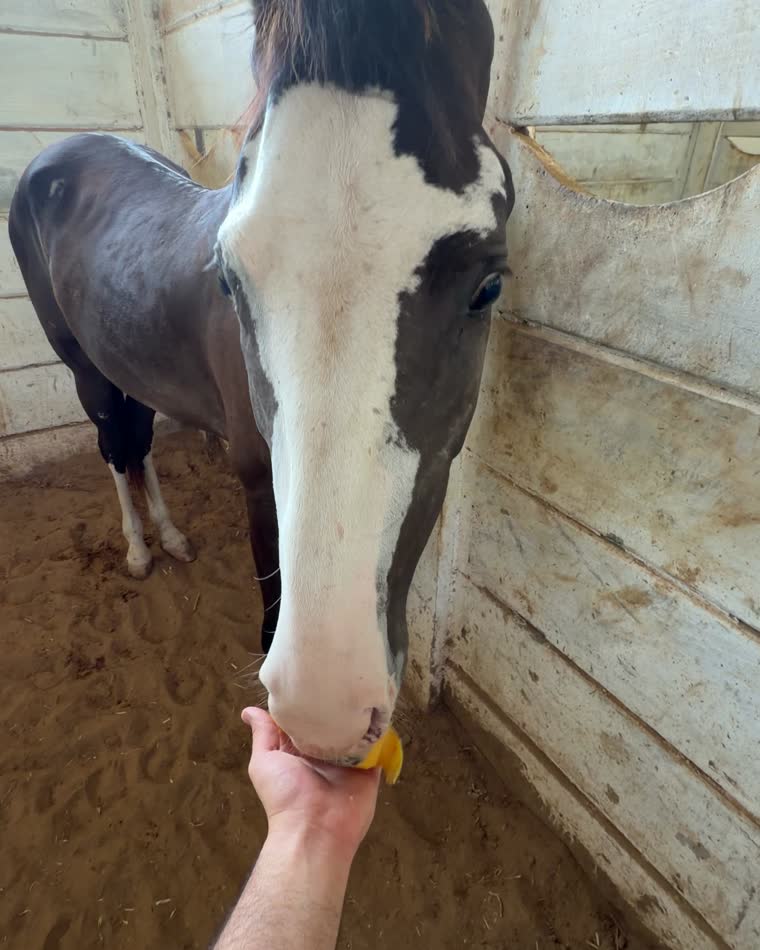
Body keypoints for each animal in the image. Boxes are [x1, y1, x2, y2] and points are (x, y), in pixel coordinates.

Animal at [8, 0, 514, 764]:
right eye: (228, 278)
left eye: (489, 286)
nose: (327, 709)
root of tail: (57, 153)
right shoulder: (255, 482)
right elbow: (271, 595)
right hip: (83, 369)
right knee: (115, 448)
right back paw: (138, 549)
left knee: (139, 441)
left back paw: (170, 536)